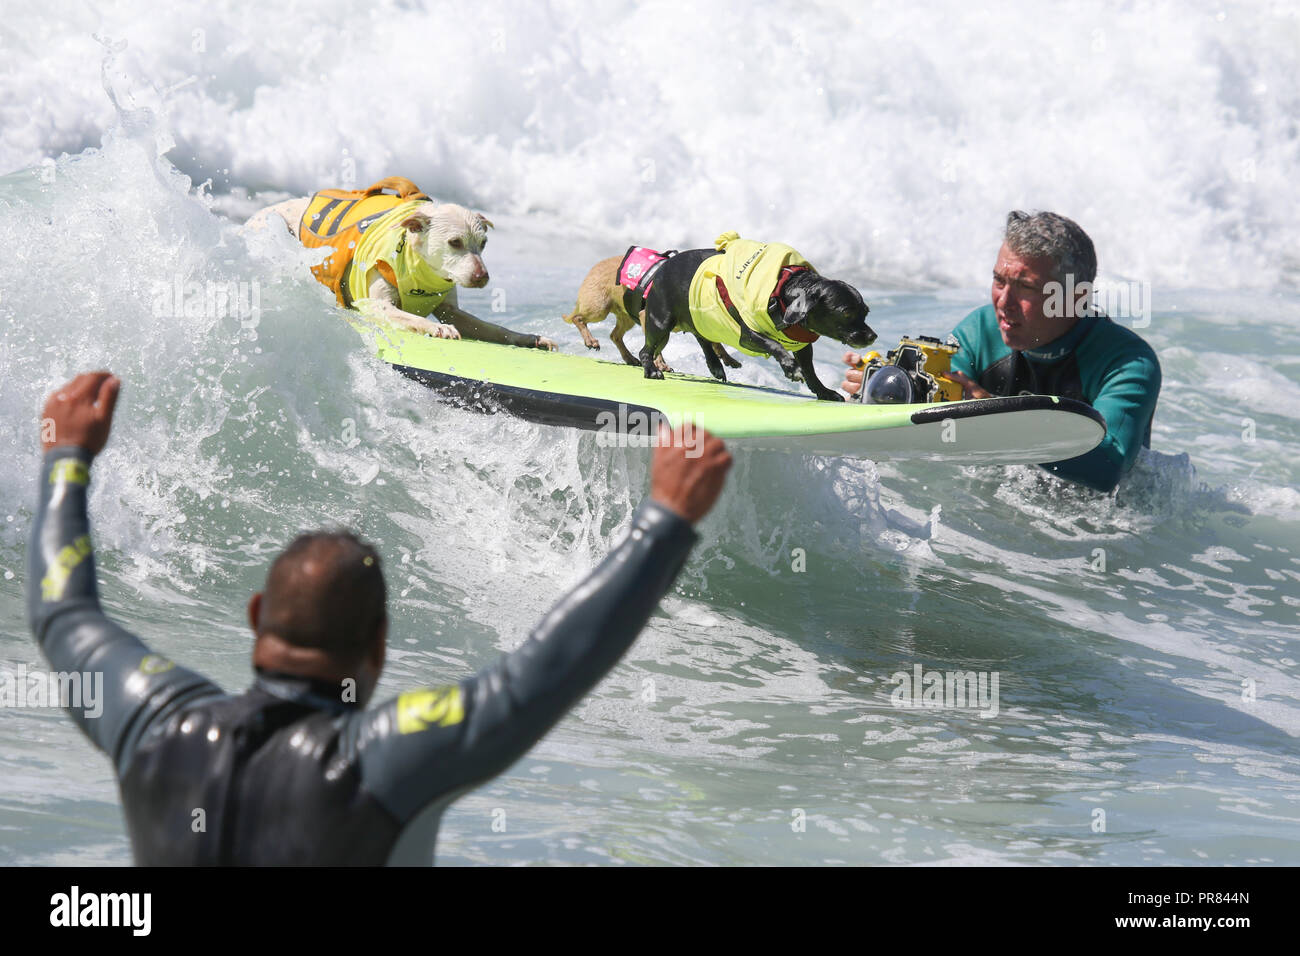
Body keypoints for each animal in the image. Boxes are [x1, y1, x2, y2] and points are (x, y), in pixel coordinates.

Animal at [561, 254, 743, 374]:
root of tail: (595, 266)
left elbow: (715, 343)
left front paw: (728, 359)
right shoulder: (648, 319)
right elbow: (655, 346)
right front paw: (660, 364)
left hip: (627, 317)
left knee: (615, 335)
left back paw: (629, 358)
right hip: (600, 308)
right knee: (579, 318)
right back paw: (590, 340)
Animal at [637, 248, 873, 403]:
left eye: (866, 312)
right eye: (847, 312)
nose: (873, 337)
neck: (784, 291)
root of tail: (665, 264)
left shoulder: (802, 344)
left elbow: (810, 370)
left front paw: (823, 391)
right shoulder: (749, 336)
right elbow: (775, 345)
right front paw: (790, 368)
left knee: (702, 336)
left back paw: (715, 365)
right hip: (661, 323)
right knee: (645, 351)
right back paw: (651, 370)